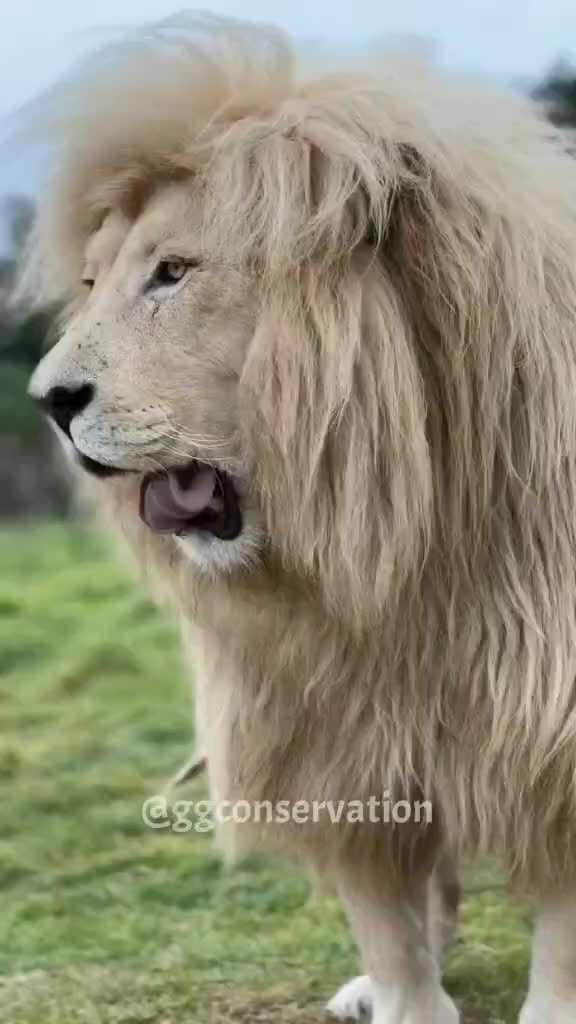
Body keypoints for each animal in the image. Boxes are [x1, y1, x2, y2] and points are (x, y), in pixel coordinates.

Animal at [22, 13, 576, 1023]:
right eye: (93, 282)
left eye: (172, 273)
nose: (48, 401)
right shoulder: (326, 733)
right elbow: (388, 922)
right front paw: (404, 1000)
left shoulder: (549, 733)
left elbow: (559, 932)